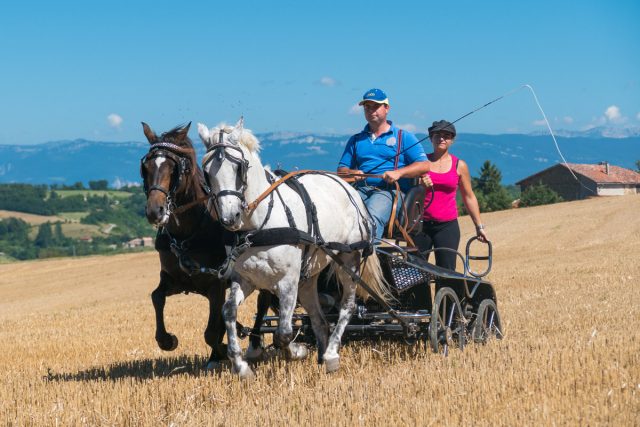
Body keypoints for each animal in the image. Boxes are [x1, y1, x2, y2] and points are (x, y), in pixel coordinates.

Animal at [141, 123, 274, 368]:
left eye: (175, 168)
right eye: (145, 167)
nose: (155, 211)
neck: (188, 232)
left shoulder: (217, 283)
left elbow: (212, 332)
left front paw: (222, 352)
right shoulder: (174, 279)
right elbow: (156, 297)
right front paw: (167, 340)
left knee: (263, 303)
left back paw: (255, 344)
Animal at [198, 118, 392, 380]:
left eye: (239, 167)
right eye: (206, 172)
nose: (230, 217)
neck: (258, 226)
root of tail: (350, 189)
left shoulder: (288, 280)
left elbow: (283, 332)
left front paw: (297, 351)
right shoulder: (244, 278)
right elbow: (229, 312)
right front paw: (241, 365)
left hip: (349, 260)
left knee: (347, 307)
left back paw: (331, 355)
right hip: (309, 277)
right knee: (320, 319)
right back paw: (322, 354)